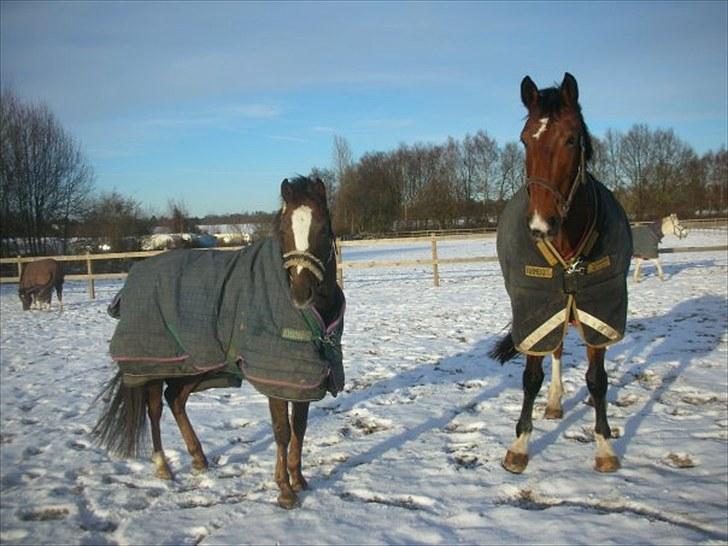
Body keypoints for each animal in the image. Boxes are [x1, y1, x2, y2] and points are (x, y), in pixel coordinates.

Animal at [92, 176, 346, 508]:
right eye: (284, 232)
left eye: (324, 228)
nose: (301, 293)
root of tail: (135, 274)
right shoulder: (275, 376)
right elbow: (282, 431)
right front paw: (285, 490)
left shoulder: (303, 376)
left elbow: (300, 429)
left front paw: (299, 479)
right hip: (152, 365)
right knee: (155, 409)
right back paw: (162, 466)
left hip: (195, 364)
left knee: (175, 399)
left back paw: (199, 459)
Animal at [492, 72, 636, 472]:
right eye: (525, 138)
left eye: (571, 139)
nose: (541, 225)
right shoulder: (536, 309)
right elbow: (531, 377)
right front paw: (519, 447)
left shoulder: (599, 309)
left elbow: (597, 379)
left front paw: (604, 447)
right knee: (555, 350)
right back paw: (555, 403)